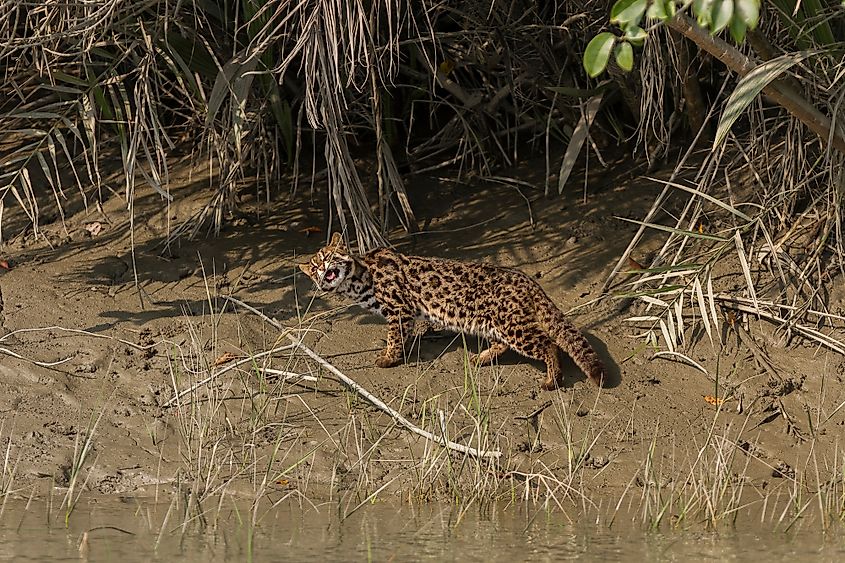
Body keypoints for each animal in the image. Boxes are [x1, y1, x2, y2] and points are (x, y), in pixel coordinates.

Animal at [300, 234, 604, 392]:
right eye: (314, 266)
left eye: (329, 257)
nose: (322, 269)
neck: (358, 279)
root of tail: (528, 280)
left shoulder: (399, 309)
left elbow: (395, 338)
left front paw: (389, 358)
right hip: (494, 323)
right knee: (504, 345)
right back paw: (481, 357)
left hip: (512, 325)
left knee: (549, 343)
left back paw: (552, 379)